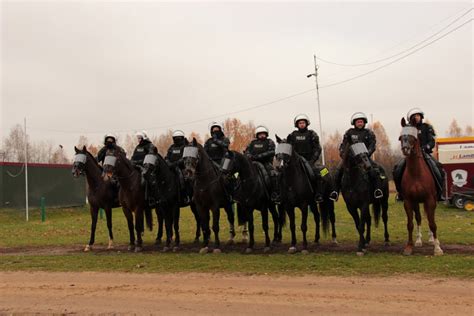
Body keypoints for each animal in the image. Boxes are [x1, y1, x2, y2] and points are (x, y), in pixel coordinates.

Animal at [400, 117, 444, 256]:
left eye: (414, 137)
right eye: (400, 137)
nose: (405, 149)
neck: (416, 173)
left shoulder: (430, 200)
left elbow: (432, 223)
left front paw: (437, 248)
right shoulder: (408, 201)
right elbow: (410, 224)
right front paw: (409, 247)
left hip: (431, 201)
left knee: (430, 218)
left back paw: (432, 240)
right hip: (417, 202)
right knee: (419, 218)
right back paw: (419, 241)